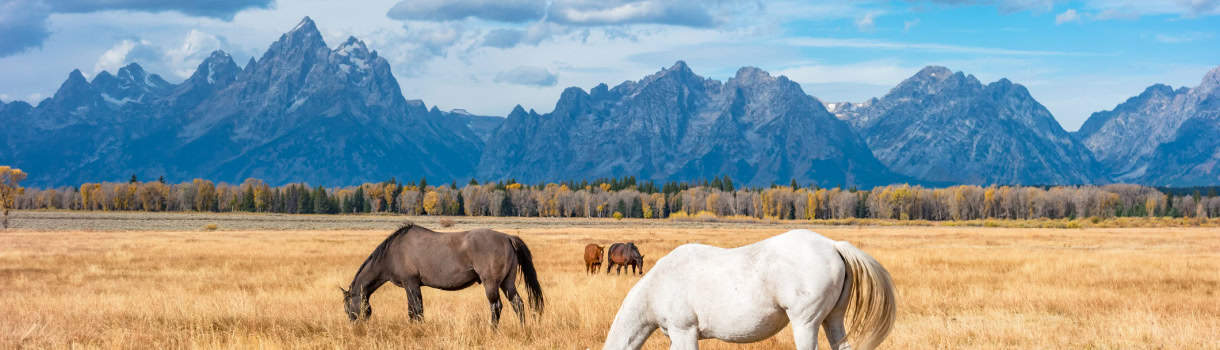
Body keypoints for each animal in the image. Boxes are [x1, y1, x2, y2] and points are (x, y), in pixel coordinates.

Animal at [336, 223, 541, 326]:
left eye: (347, 308)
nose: (355, 328)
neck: (393, 253)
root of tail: (507, 238)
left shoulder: (411, 284)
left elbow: (415, 310)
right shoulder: (412, 286)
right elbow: (415, 310)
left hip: (491, 284)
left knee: (496, 307)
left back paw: (492, 330)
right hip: (507, 283)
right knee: (518, 304)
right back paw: (523, 328)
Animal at [602, 230, 897, 350]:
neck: (659, 284)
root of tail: (833, 246)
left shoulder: (684, 332)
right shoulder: (677, 335)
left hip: (806, 323)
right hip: (833, 319)